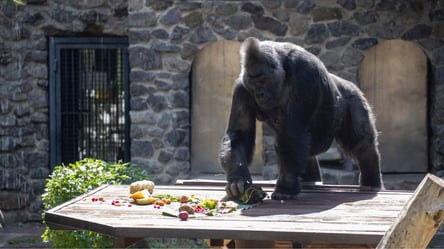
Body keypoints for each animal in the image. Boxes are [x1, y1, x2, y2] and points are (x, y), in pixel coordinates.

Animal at [219, 37, 382, 200]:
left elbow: (292, 133)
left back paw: (371, 182)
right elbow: (239, 135)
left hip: (354, 98)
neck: (283, 70)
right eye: (253, 83)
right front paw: (237, 179)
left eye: (263, 80)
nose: (259, 94)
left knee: (362, 145)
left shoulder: (305, 72)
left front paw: (285, 188)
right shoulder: (242, 87)